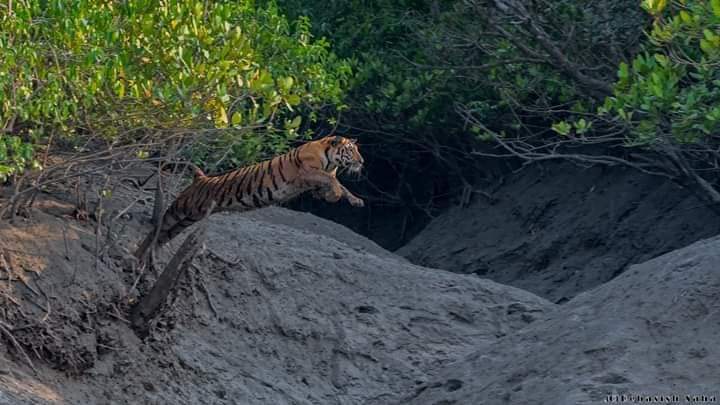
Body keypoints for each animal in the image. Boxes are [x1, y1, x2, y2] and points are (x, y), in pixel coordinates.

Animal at [134, 135, 365, 261]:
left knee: (162, 236)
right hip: (180, 210)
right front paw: (335, 194)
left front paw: (353, 200)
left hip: (189, 219)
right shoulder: (307, 172)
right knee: (159, 227)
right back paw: (139, 253)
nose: (362, 161)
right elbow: (333, 180)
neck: (332, 160)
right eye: (351, 150)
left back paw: (147, 256)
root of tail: (202, 178)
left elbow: (340, 185)